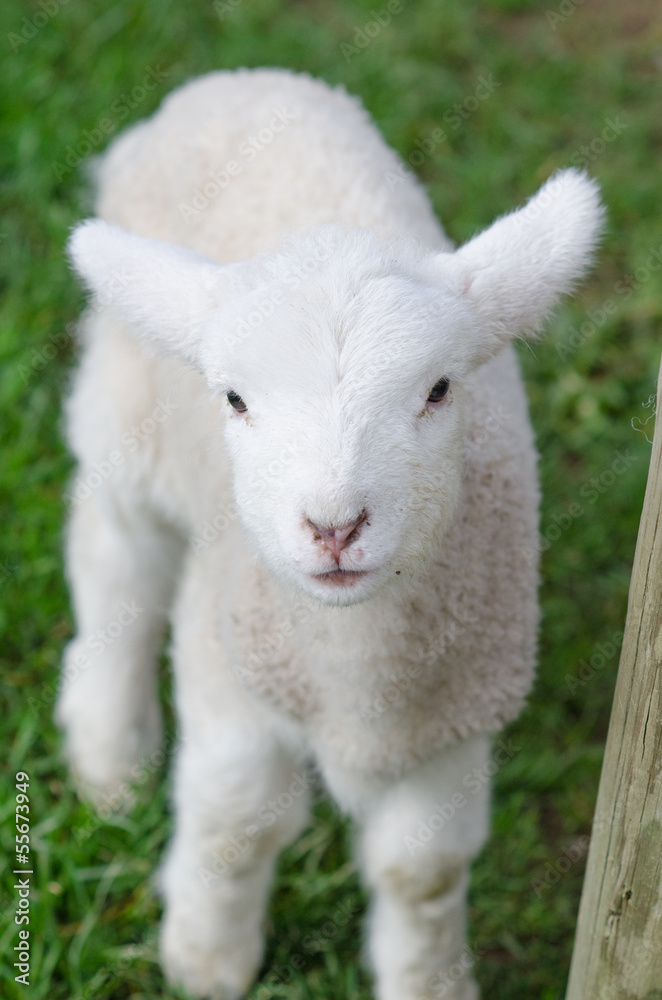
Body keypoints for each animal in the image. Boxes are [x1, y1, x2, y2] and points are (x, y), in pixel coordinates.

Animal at [58, 68, 608, 1000]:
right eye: (235, 398)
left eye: (439, 389)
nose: (334, 526)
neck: (356, 680)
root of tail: (243, 79)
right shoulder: (229, 668)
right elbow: (238, 819)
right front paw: (206, 958)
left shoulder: (456, 716)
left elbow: (422, 872)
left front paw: (428, 981)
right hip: (125, 408)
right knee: (116, 563)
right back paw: (109, 752)